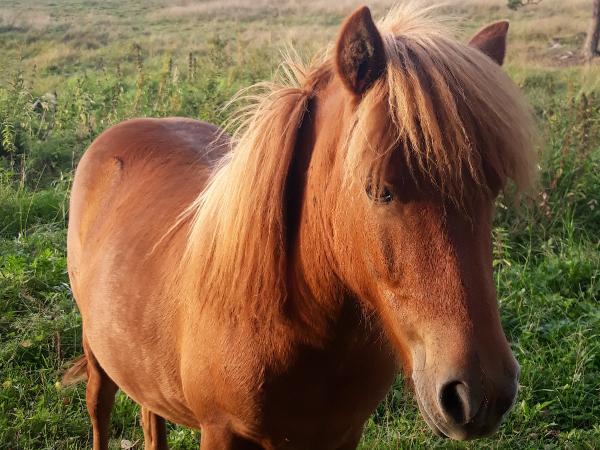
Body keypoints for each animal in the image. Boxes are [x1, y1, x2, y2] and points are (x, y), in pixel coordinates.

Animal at [64, 3, 536, 449]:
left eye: (493, 190)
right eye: (379, 190)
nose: (481, 394)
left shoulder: (343, 435)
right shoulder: (221, 432)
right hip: (97, 355)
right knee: (99, 408)